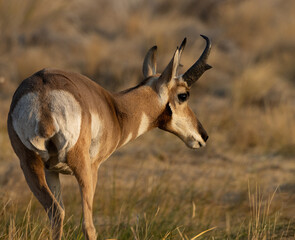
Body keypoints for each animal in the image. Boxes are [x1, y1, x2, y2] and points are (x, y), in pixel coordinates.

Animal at [6, 35, 213, 240]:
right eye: (183, 95)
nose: (203, 135)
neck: (114, 108)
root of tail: (43, 94)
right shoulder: (94, 167)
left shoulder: (52, 171)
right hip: (81, 167)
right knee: (87, 225)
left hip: (31, 166)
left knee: (56, 213)